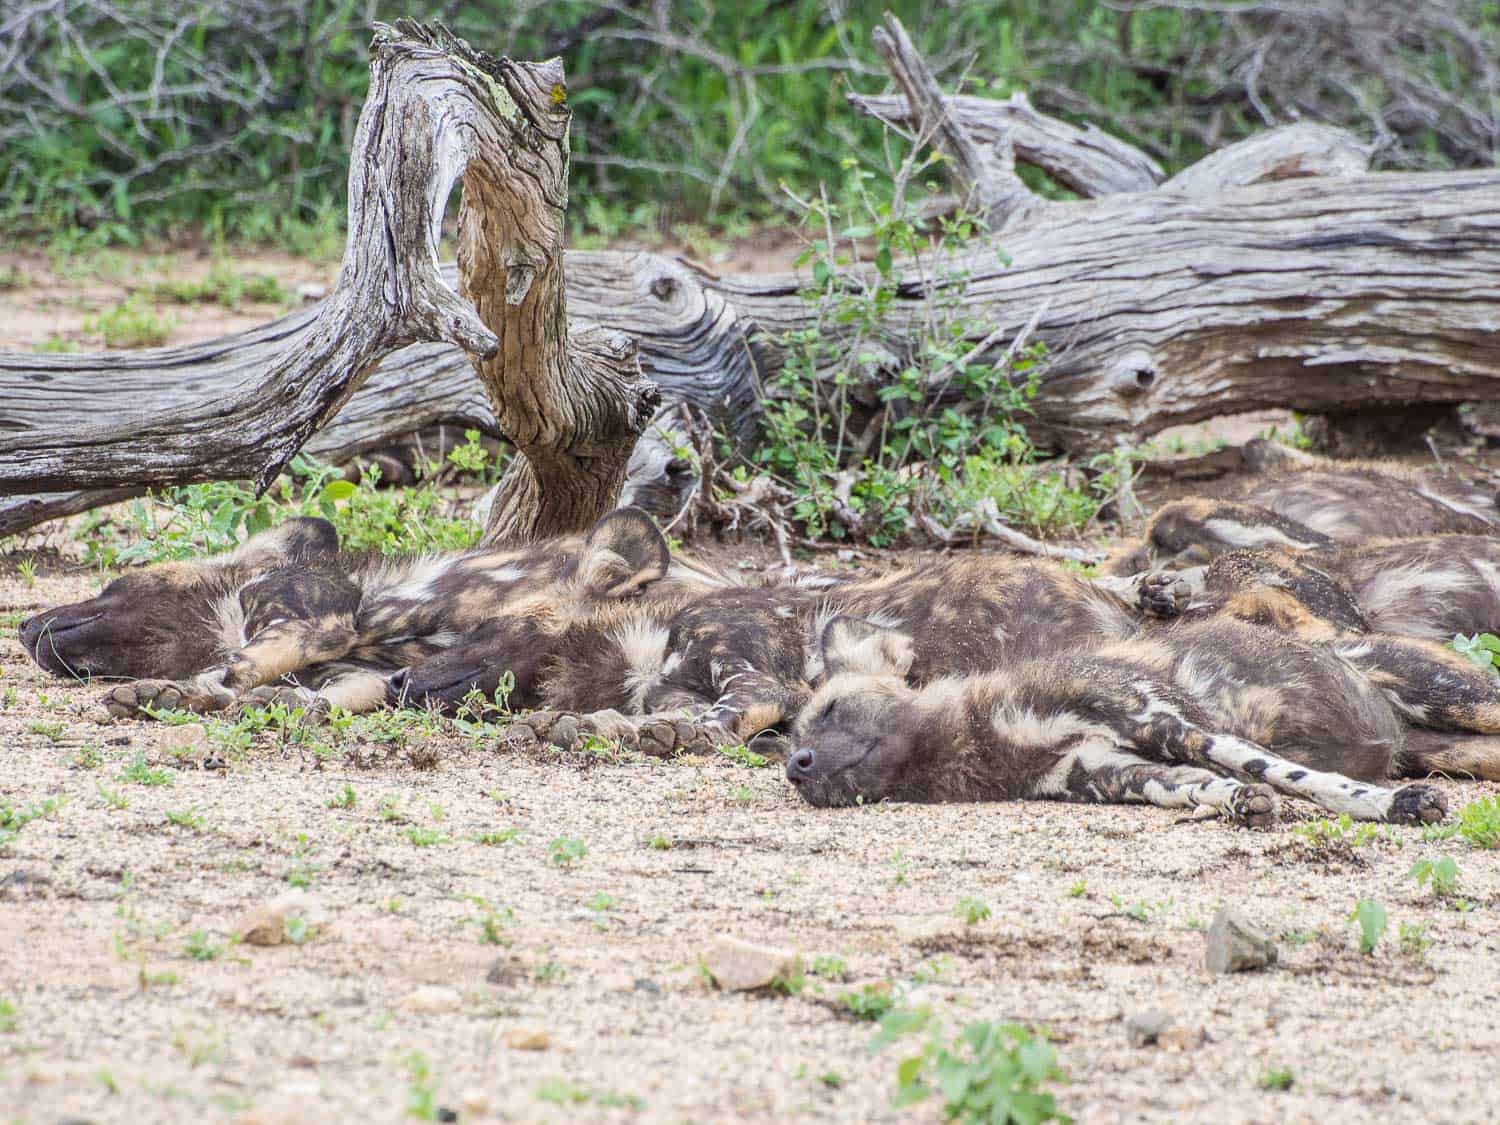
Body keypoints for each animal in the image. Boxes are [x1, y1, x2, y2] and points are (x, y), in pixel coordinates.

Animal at [792, 612, 1446, 822]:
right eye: (790, 748)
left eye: (832, 708)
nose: (797, 766)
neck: (987, 732)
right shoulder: (1107, 772)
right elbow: (1203, 786)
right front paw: (1239, 803)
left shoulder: (1163, 722)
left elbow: (1288, 774)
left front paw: (1391, 803)